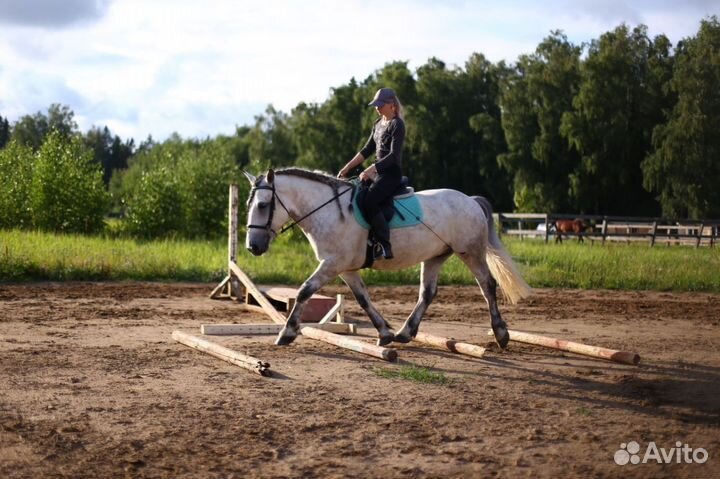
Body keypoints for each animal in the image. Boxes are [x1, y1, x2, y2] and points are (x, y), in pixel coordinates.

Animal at [244, 167, 532, 349]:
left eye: (263, 205)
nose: (252, 246)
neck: (327, 211)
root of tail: (470, 199)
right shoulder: (346, 269)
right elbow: (363, 299)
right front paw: (384, 333)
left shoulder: (333, 264)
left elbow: (304, 291)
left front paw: (287, 332)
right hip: (436, 256)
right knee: (427, 293)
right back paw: (405, 333)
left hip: (470, 252)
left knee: (487, 285)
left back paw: (501, 334)